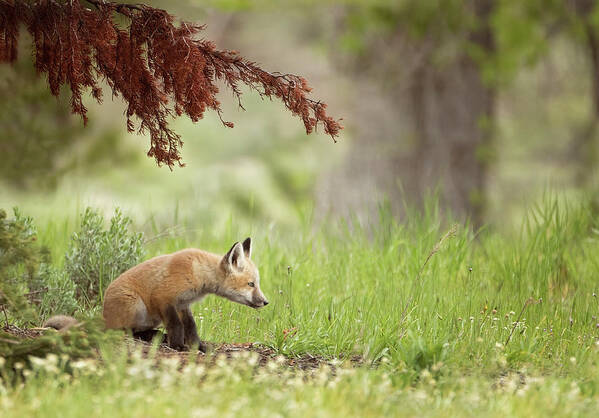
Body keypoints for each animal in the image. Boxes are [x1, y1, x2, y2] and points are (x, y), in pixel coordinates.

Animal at [47, 237, 270, 352]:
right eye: (251, 284)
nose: (265, 302)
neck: (198, 272)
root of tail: (104, 315)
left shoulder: (183, 304)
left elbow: (191, 326)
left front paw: (198, 346)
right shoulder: (164, 298)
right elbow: (176, 325)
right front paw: (178, 346)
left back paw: (155, 335)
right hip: (136, 306)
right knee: (122, 331)